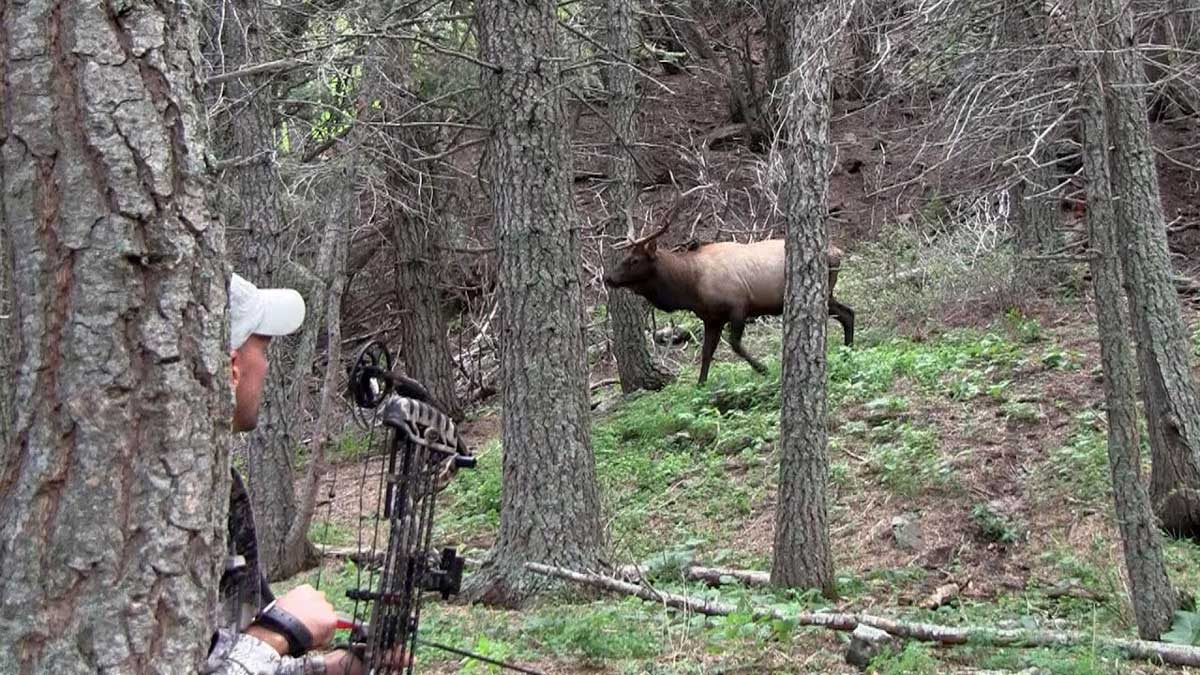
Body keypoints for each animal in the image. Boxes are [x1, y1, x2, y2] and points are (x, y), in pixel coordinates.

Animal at [603, 201, 855, 385]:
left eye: (634, 260)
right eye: (625, 256)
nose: (608, 277)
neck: (690, 288)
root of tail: (837, 253)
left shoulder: (739, 305)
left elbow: (734, 343)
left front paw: (763, 368)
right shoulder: (712, 318)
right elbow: (707, 352)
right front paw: (700, 385)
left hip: (824, 293)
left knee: (847, 313)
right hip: (829, 294)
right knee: (848, 313)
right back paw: (848, 351)